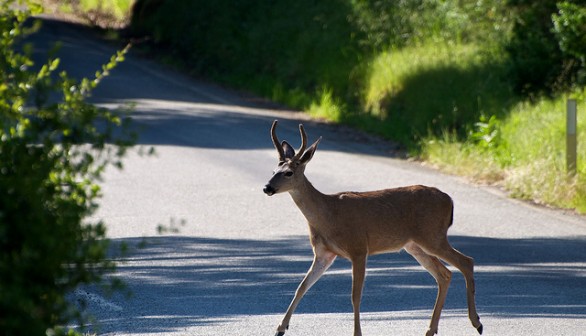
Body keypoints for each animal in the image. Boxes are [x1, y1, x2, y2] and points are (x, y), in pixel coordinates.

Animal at [262, 121, 482, 336]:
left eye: (288, 172)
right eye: (273, 171)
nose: (267, 188)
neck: (329, 215)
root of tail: (449, 200)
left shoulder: (358, 248)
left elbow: (355, 295)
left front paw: (357, 333)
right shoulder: (324, 253)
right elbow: (302, 286)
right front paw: (280, 328)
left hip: (432, 236)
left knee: (466, 262)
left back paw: (476, 322)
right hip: (415, 245)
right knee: (445, 274)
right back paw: (431, 329)